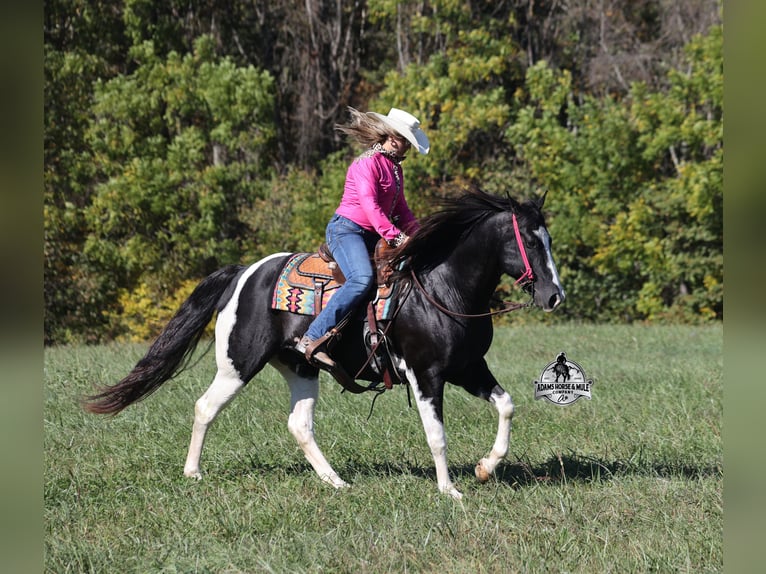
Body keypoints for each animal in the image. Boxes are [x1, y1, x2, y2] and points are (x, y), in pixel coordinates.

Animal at [85, 188, 565, 499]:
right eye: (529, 239)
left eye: (550, 238)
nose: (553, 295)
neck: (441, 288)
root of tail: (243, 273)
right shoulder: (426, 375)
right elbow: (437, 435)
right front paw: (450, 490)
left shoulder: (468, 369)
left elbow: (506, 406)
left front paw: (485, 468)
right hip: (238, 364)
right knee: (206, 407)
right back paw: (193, 473)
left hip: (301, 368)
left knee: (300, 425)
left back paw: (336, 482)